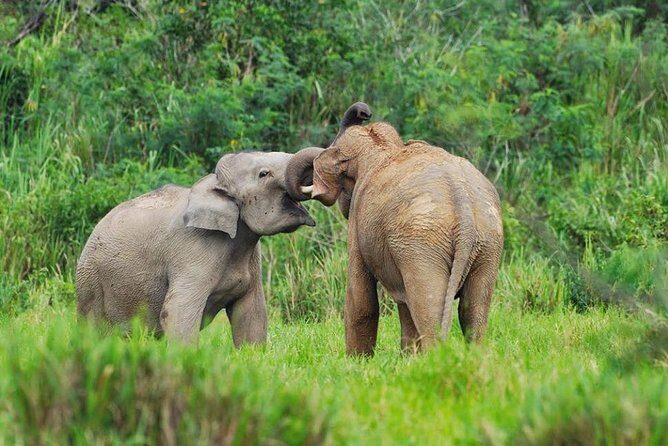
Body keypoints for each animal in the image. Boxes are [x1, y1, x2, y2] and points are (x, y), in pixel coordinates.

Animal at [285, 103, 503, 355]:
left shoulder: (358, 220)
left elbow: (361, 298)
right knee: (474, 310)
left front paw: (357, 361)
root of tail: (464, 208)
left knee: (428, 307)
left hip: (421, 247)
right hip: (488, 243)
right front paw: (409, 358)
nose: (364, 112)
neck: (381, 146)